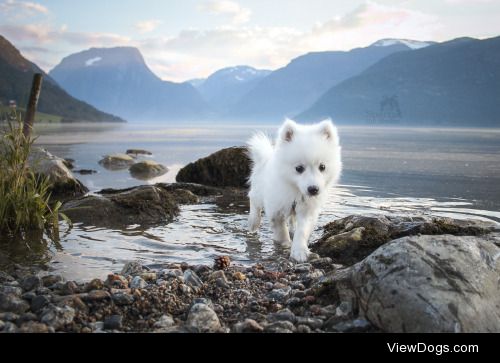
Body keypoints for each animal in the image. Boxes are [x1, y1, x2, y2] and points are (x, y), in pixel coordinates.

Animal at [247, 121, 342, 264]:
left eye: (322, 167)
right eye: (299, 168)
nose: (313, 189)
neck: (296, 190)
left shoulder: (307, 209)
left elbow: (302, 231)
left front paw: (299, 251)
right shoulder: (276, 208)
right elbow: (281, 231)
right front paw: (284, 244)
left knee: (292, 219)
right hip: (258, 192)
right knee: (253, 201)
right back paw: (253, 222)